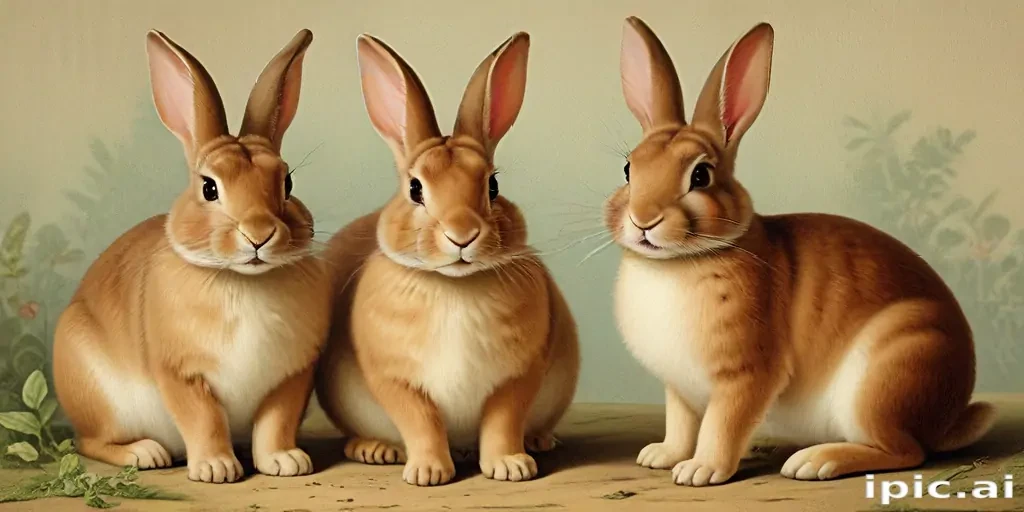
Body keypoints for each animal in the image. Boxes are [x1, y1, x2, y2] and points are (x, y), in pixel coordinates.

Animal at [51, 28, 330, 484]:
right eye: (209, 188)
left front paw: (285, 462)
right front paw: (216, 469)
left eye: (287, 182)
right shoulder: (181, 374)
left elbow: (276, 422)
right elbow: (204, 420)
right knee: (90, 442)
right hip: (100, 397)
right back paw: (144, 454)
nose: (259, 234)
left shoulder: (291, 377)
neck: (243, 279)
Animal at [315, 31, 580, 487]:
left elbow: (502, 422)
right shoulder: (396, 380)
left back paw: (539, 442)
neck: (454, 284)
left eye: (493, 185)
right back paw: (374, 450)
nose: (462, 235)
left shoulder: (517, 376)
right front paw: (428, 473)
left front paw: (510, 467)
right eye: (415, 188)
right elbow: (421, 422)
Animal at [606, 17, 997, 487]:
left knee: (906, 451)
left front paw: (701, 470)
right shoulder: (679, 389)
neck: (677, 263)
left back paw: (816, 461)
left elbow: (723, 425)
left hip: (890, 373)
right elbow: (681, 424)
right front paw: (662, 456)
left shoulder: (748, 375)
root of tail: (949, 417)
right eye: (629, 169)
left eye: (701, 175)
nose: (643, 220)